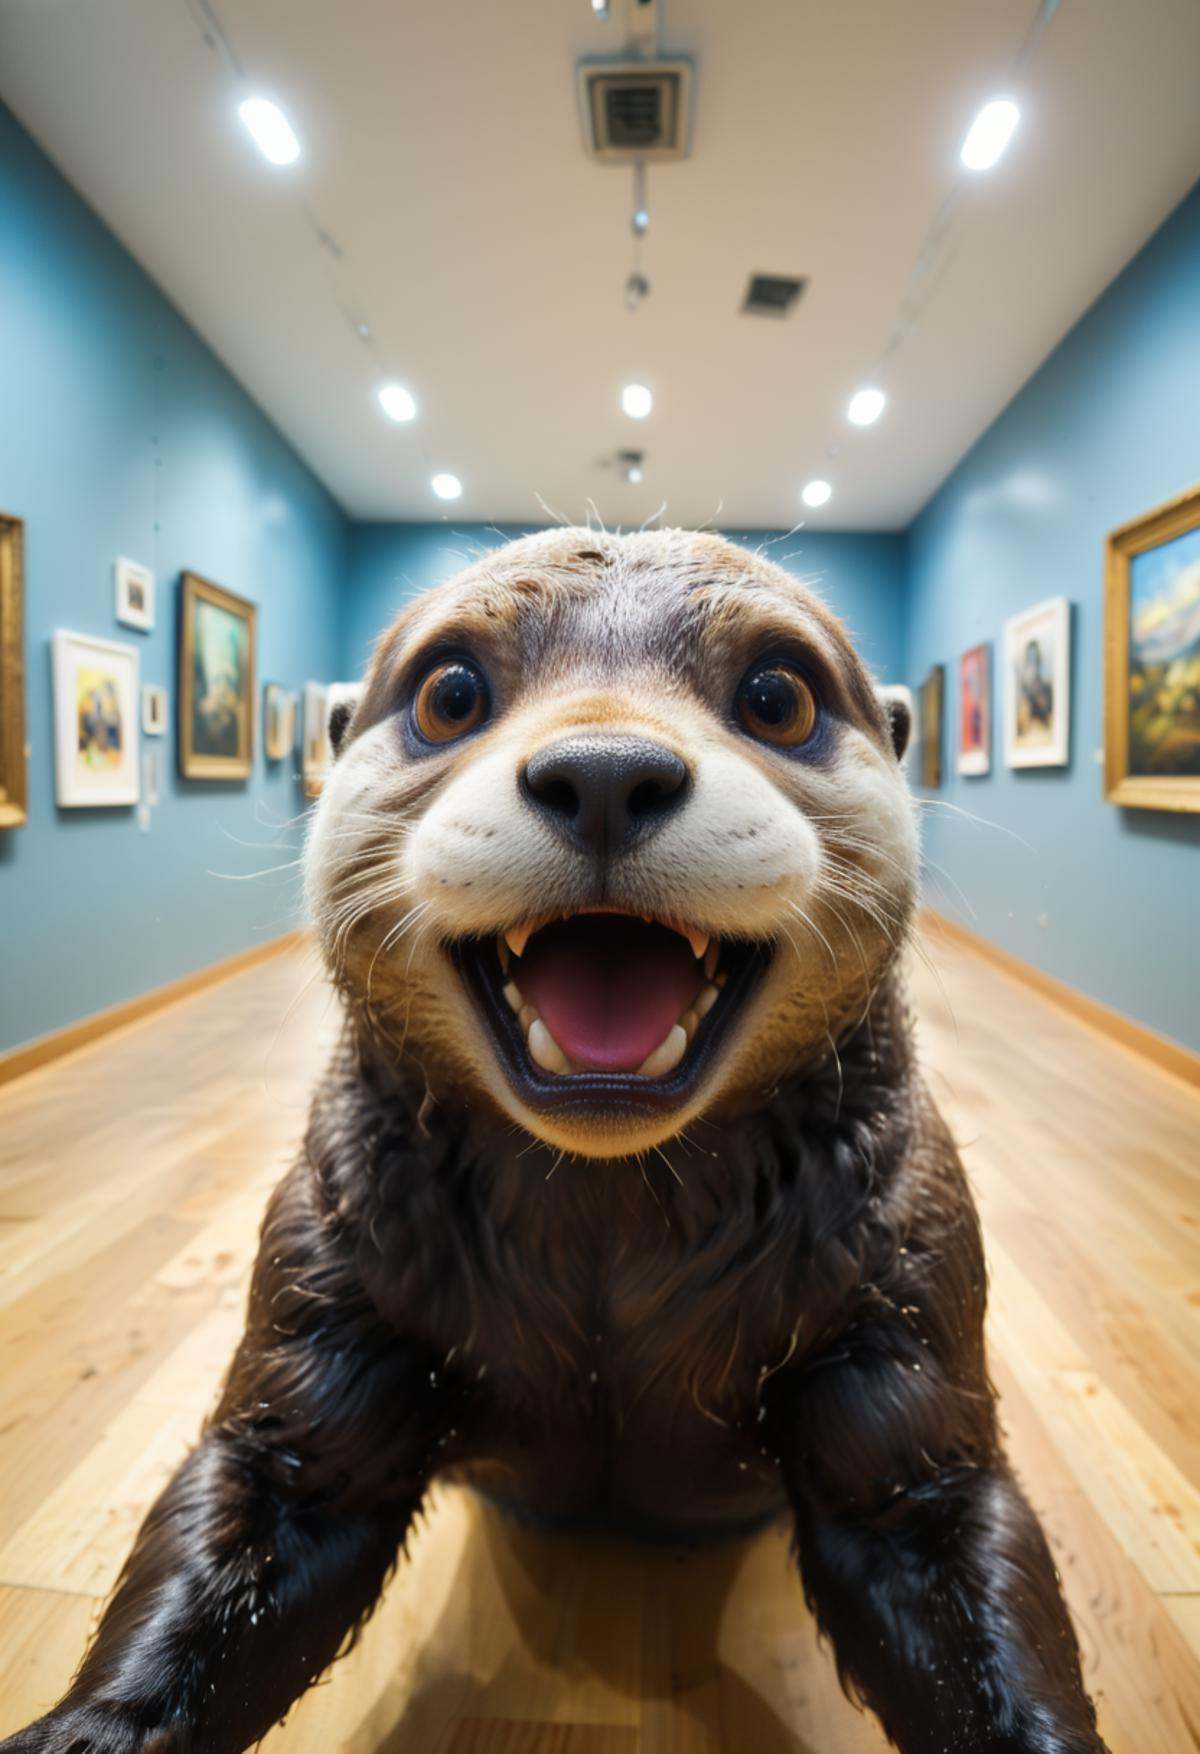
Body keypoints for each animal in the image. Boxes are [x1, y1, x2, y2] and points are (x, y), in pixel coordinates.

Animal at [3, 530, 1106, 1753]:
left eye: (778, 695)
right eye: (449, 692)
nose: (608, 771)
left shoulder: (908, 1296)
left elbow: (929, 1519)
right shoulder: (321, 1286)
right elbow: (281, 1485)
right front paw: (88, 1727)